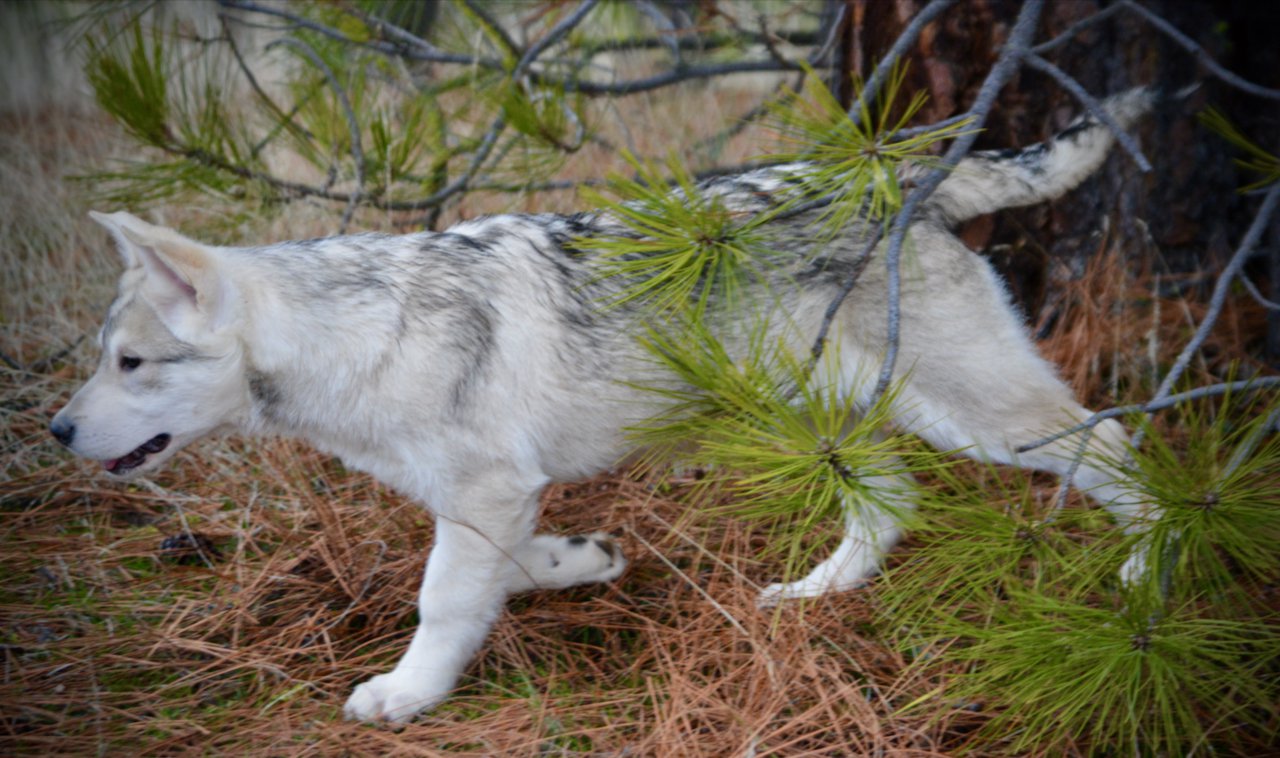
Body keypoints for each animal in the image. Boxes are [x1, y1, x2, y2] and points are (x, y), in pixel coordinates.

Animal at [47, 88, 1152, 722]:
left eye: (133, 361)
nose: (55, 429)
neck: (355, 333)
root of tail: (894, 175)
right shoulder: (490, 499)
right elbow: (502, 572)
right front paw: (584, 562)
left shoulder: (486, 490)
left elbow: (442, 599)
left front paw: (406, 695)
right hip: (815, 421)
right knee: (891, 499)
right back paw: (813, 595)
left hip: (980, 416)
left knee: (1113, 444)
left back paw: (1149, 576)